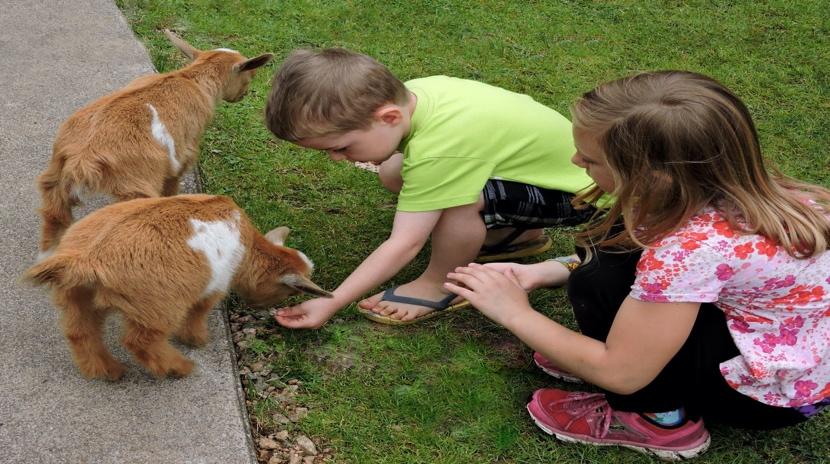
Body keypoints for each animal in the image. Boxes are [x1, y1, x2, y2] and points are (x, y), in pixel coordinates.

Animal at [23, 194, 328, 378]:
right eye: (290, 291)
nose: (258, 306)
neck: (250, 248)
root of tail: (87, 259)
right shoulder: (215, 283)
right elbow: (199, 312)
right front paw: (197, 339)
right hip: (159, 307)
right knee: (140, 342)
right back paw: (179, 367)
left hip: (76, 297)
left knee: (81, 333)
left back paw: (108, 371)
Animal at [37, 29, 274, 254]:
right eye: (251, 75)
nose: (243, 95)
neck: (193, 79)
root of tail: (81, 160)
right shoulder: (182, 156)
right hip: (135, 188)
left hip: (54, 183)